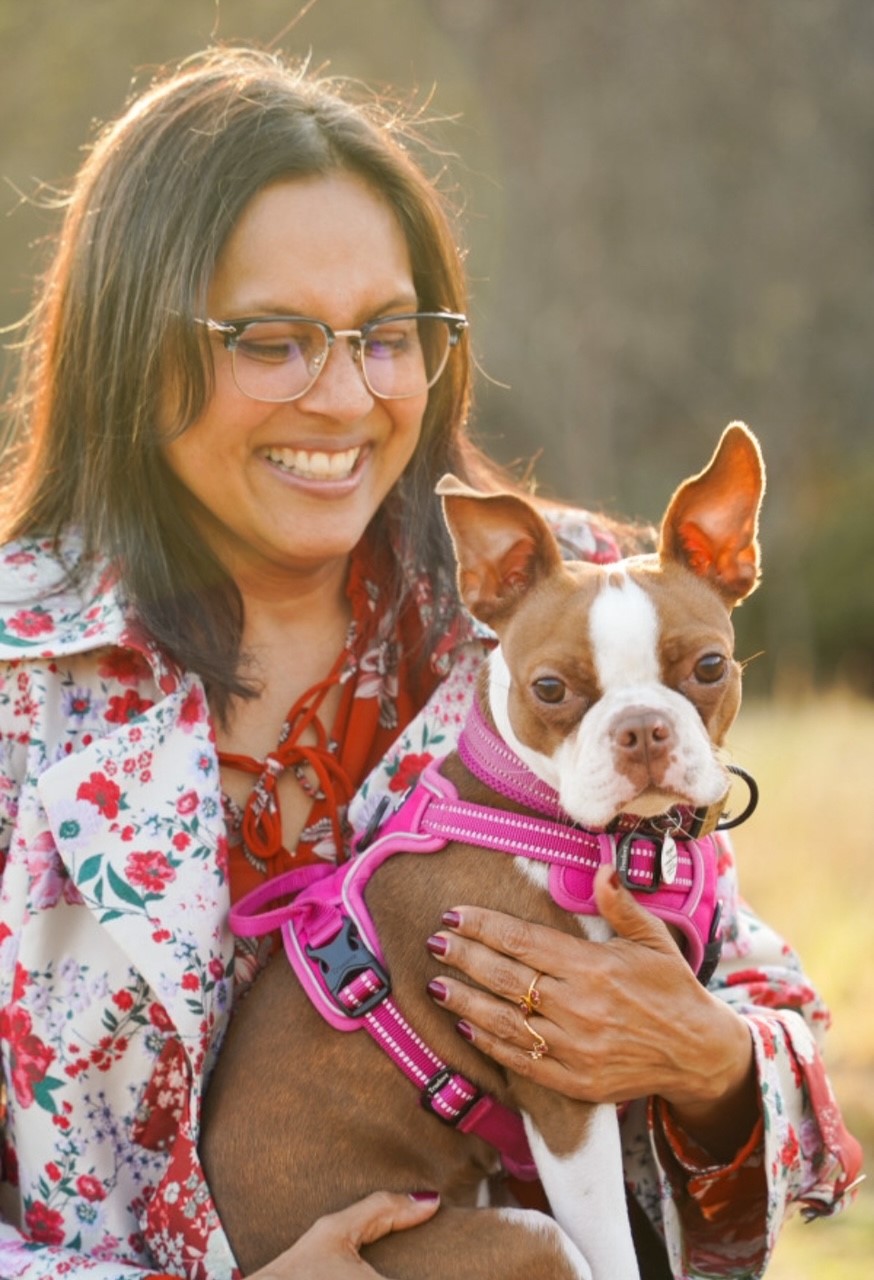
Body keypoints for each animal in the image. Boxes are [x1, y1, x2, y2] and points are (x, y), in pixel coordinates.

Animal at [199, 422, 767, 1280]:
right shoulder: (563, 1092)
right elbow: (613, 1252)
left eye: (709, 667)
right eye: (550, 689)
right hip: (514, 1238)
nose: (641, 729)